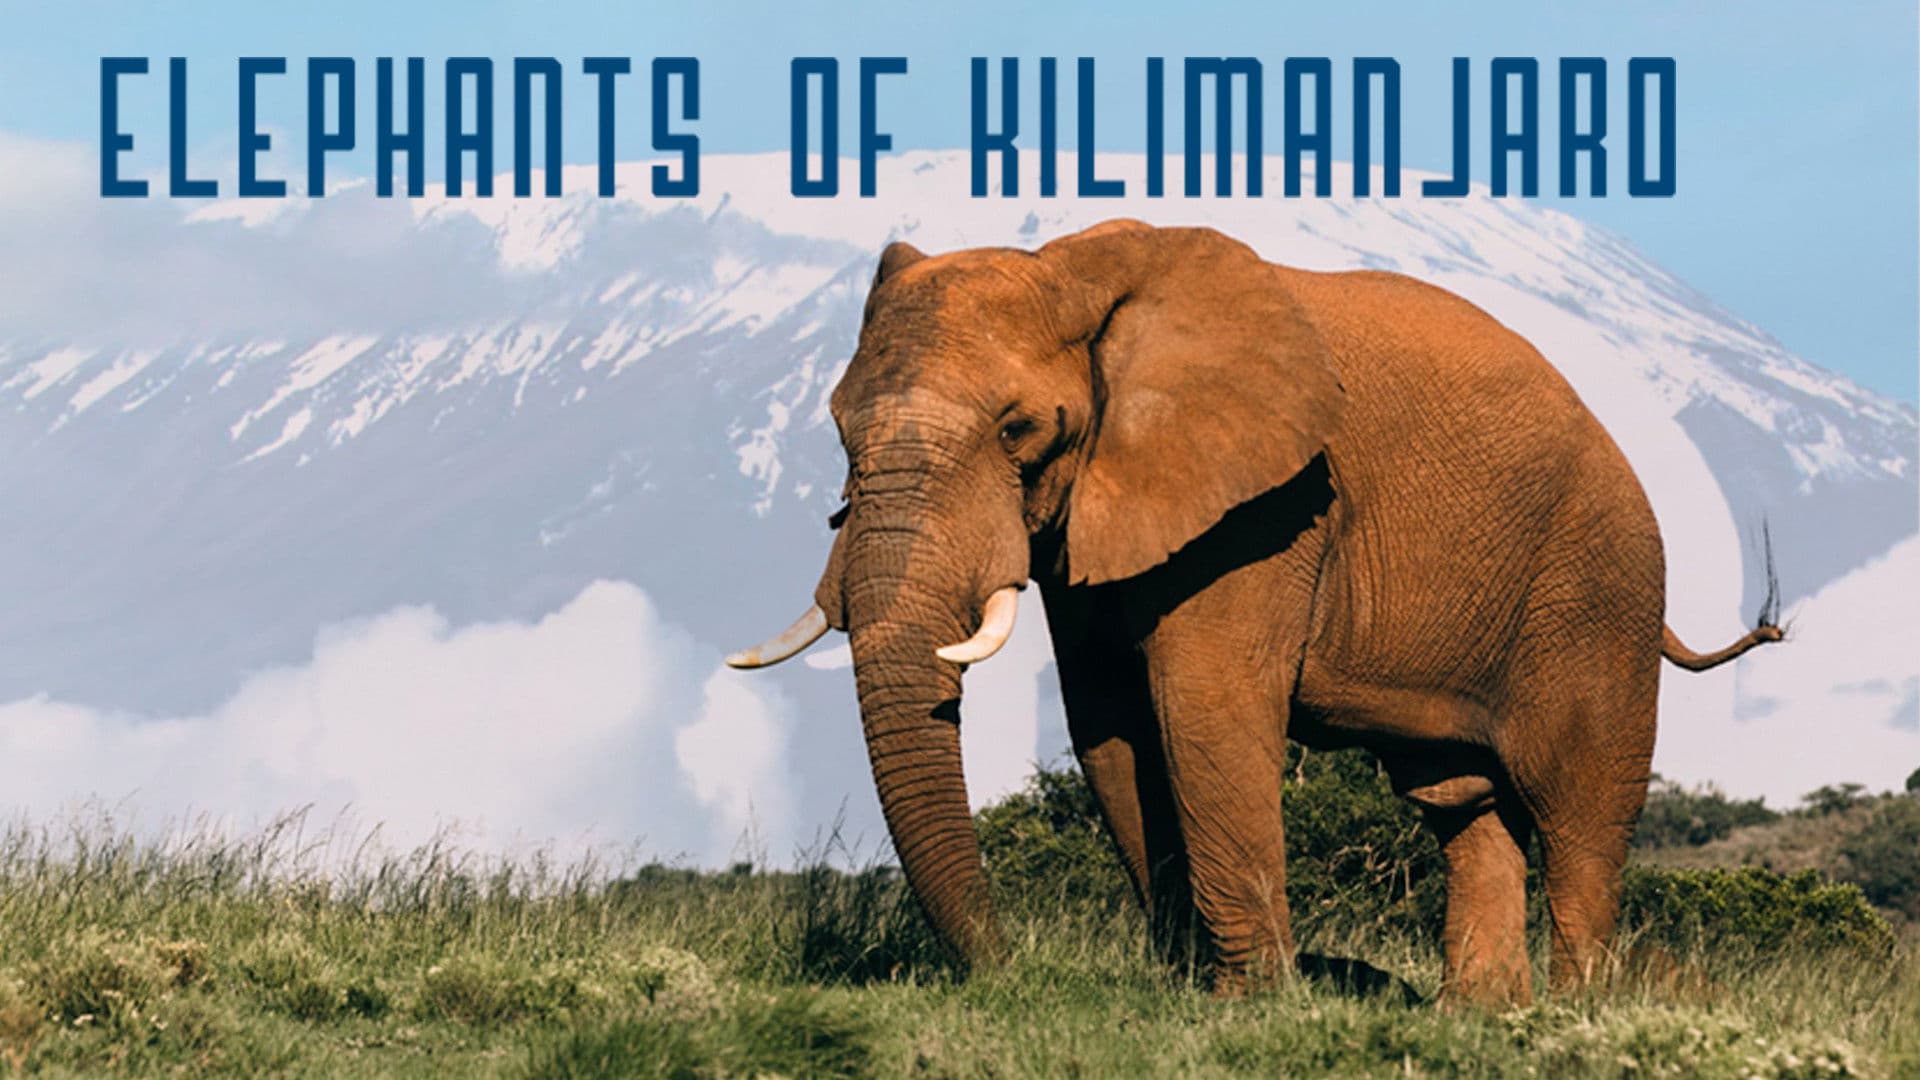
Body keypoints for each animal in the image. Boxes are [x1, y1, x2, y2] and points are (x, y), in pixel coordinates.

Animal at [726, 220, 1782, 1006]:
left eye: (1019, 429)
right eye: (836, 430)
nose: (1006, 973)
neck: (1078, 271)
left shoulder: (1270, 506)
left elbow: (1206, 708)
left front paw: (1251, 1005)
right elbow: (1110, 725)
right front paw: (1186, 990)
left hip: (1598, 588)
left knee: (1579, 811)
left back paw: (1575, 1015)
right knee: (1463, 804)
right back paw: (1477, 1018)